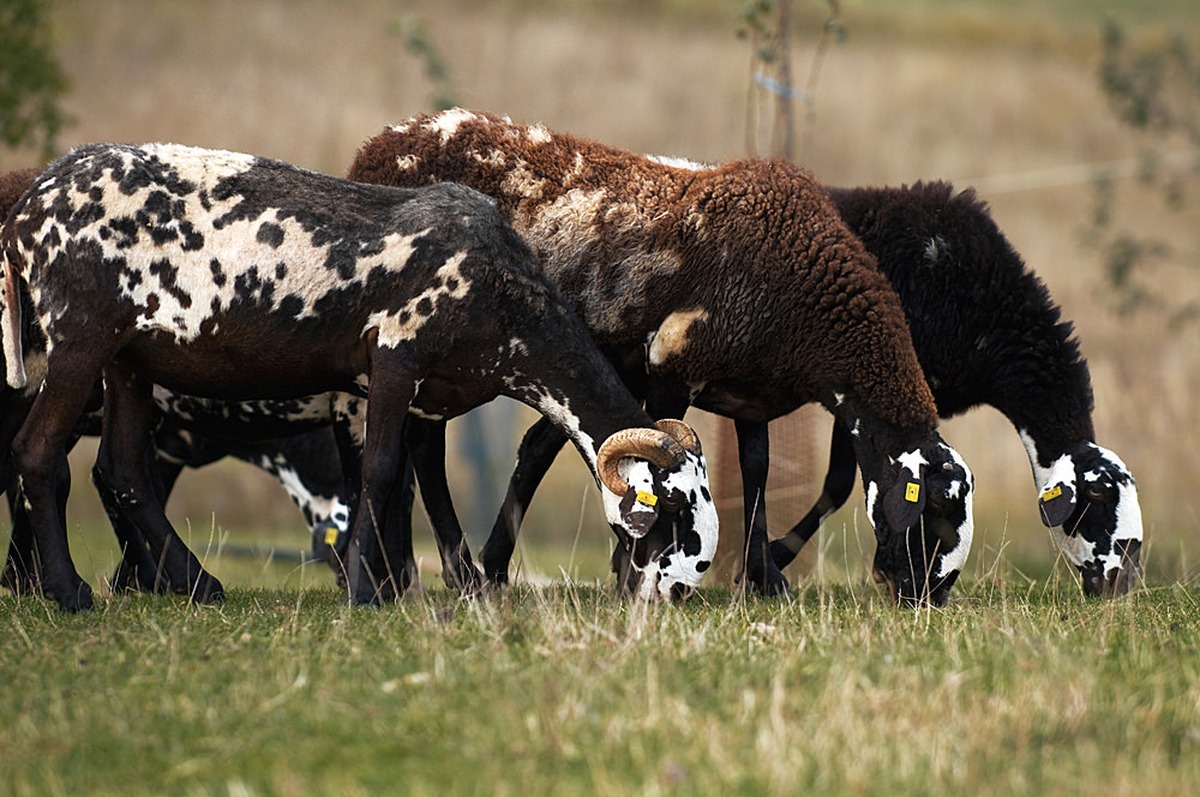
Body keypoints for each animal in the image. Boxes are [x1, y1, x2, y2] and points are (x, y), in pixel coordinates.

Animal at [0, 143, 715, 612]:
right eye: (672, 506)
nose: (682, 590)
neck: (508, 307)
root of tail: (26, 213)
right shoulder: (395, 358)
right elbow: (380, 470)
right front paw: (369, 592)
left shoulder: (421, 396)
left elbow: (403, 480)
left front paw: (398, 583)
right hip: (81, 340)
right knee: (37, 455)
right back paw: (69, 593)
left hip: (128, 361)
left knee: (121, 470)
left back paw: (198, 585)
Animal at [348, 105, 974, 604]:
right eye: (936, 515)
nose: (927, 596)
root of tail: (379, 145)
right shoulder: (673, 364)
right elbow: (657, 456)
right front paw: (635, 572)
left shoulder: (748, 394)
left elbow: (756, 472)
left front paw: (765, 579)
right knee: (424, 448)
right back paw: (442, 574)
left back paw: (421, 575)